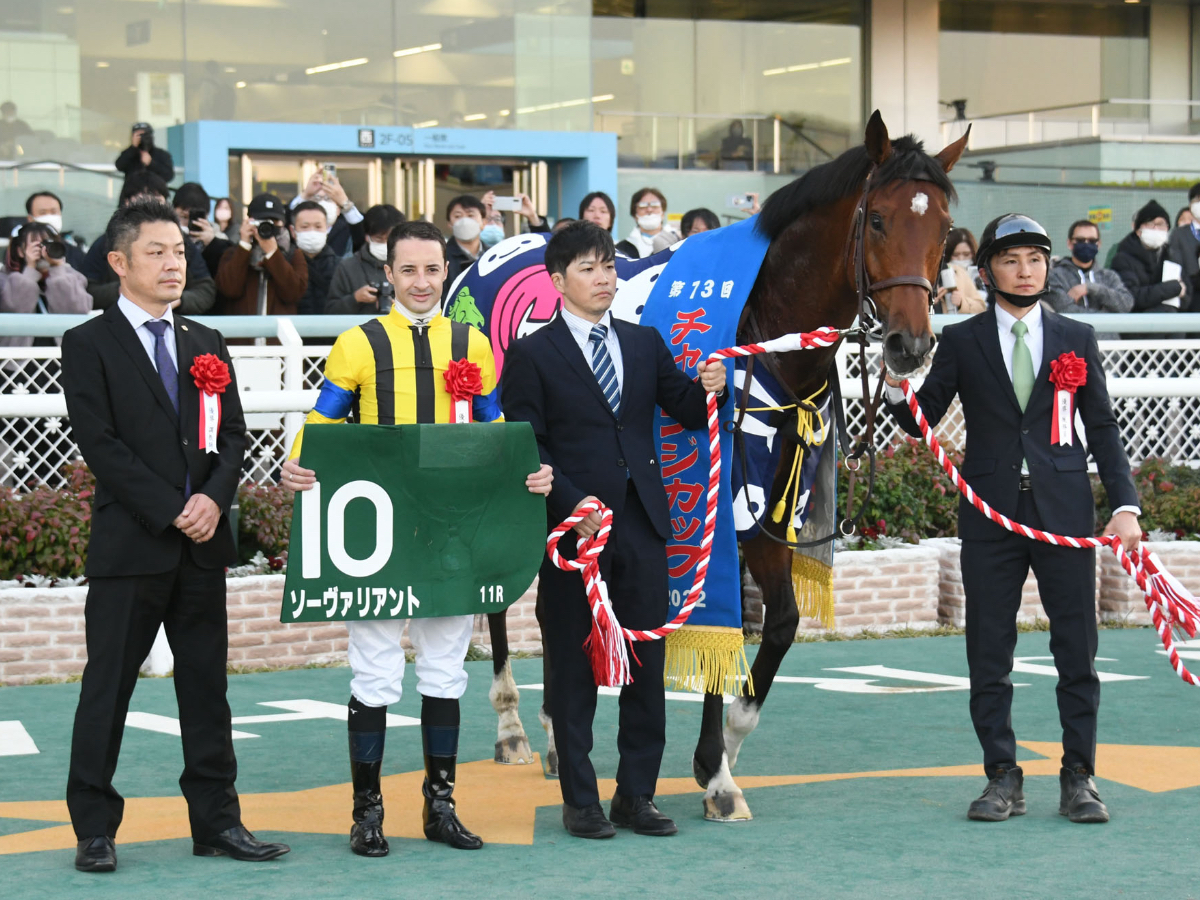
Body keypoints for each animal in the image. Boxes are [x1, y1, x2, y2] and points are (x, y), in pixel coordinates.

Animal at [482, 109, 969, 820]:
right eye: (877, 218)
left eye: (944, 228)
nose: (911, 345)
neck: (767, 339)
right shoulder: (726, 503)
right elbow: (726, 618)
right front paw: (715, 770)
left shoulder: (772, 505)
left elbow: (780, 622)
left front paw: (724, 752)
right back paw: (514, 725)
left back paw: (550, 729)